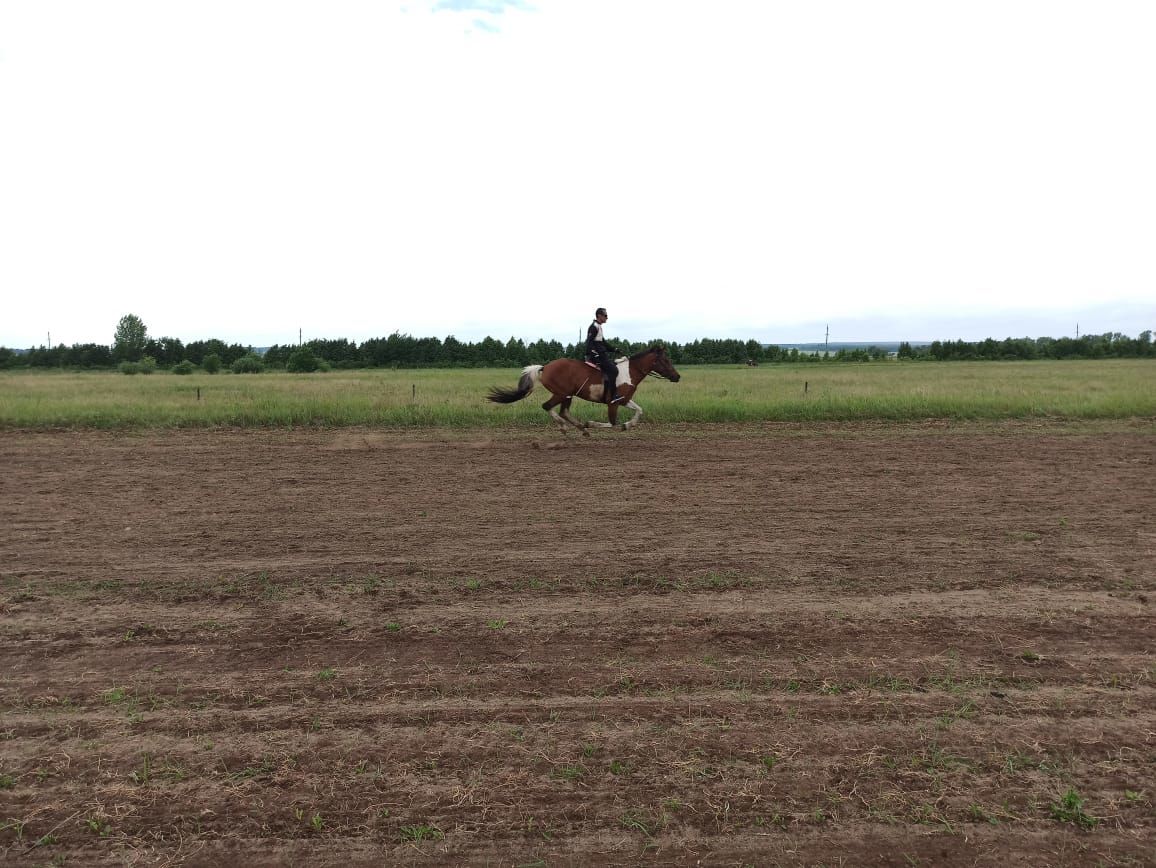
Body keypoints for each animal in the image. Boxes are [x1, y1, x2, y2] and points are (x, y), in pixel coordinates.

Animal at [485, 342, 675, 432]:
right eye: (665, 360)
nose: (677, 376)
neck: (628, 372)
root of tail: (544, 367)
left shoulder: (624, 399)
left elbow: (639, 410)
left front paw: (628, 425)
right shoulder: (613, 403)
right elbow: (612, 423)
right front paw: (591, 423)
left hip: (568, 395)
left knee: (563, 411)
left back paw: (580, 429)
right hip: (562, 393)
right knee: (548, 407)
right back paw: (567, 427)